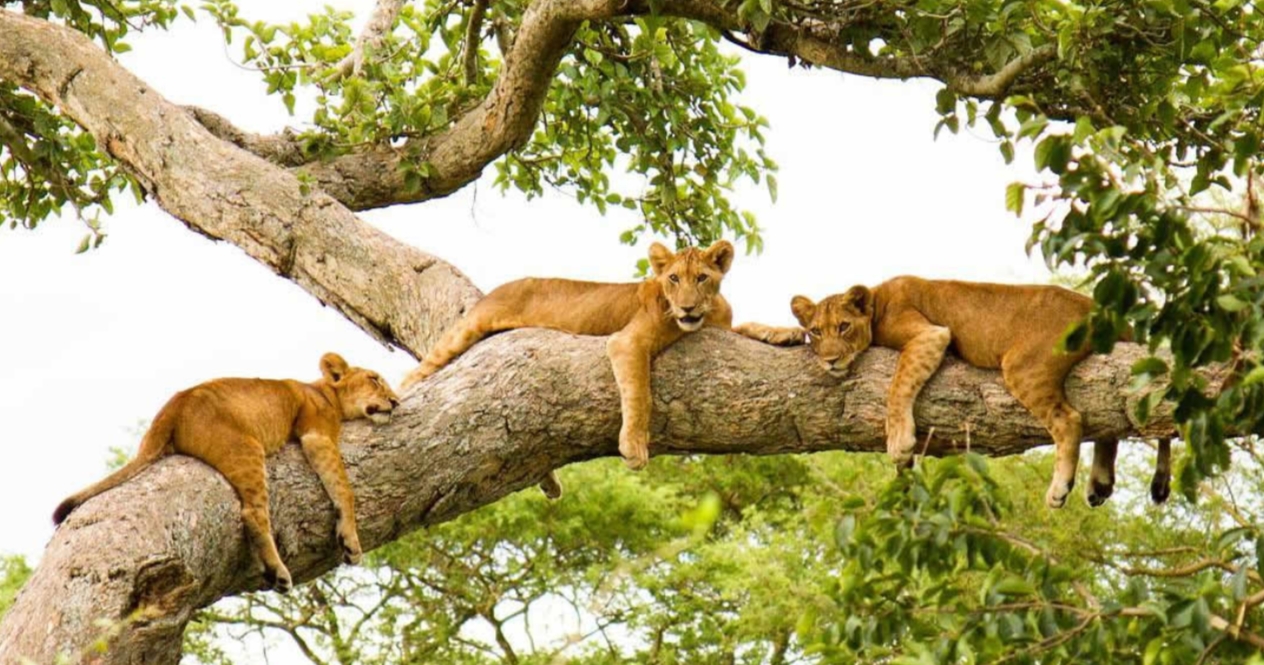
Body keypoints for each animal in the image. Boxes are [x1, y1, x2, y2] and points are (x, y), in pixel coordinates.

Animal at [53, 352, 400, 593]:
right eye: (374, 379)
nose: (396, 402)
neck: (323, 391)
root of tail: (173, 406)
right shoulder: (317, 434)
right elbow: (344, 489)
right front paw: (351, 542)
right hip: (247, 447)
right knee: (253, 513)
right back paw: (278, 572)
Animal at [400, 240, 735, 476]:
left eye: (702, 278)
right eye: (674, 278)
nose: (687, 308)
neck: (708, 313)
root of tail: (498, 288)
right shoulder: (627, 342)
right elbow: (640, 394)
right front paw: (634, 446)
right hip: (467, 329)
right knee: (414, 375)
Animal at [735, 276, 1166, 509]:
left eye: (843, 327)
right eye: (815, 332)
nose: (829, 360)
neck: (876, 298)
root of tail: (1100, 307)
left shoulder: (930, 334)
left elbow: (898, 386)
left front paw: (899, 442)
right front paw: (760, 330)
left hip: (1024, 365)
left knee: (1071, 420)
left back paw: (1061, 489)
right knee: (1108, 423)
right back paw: (1100, 484)